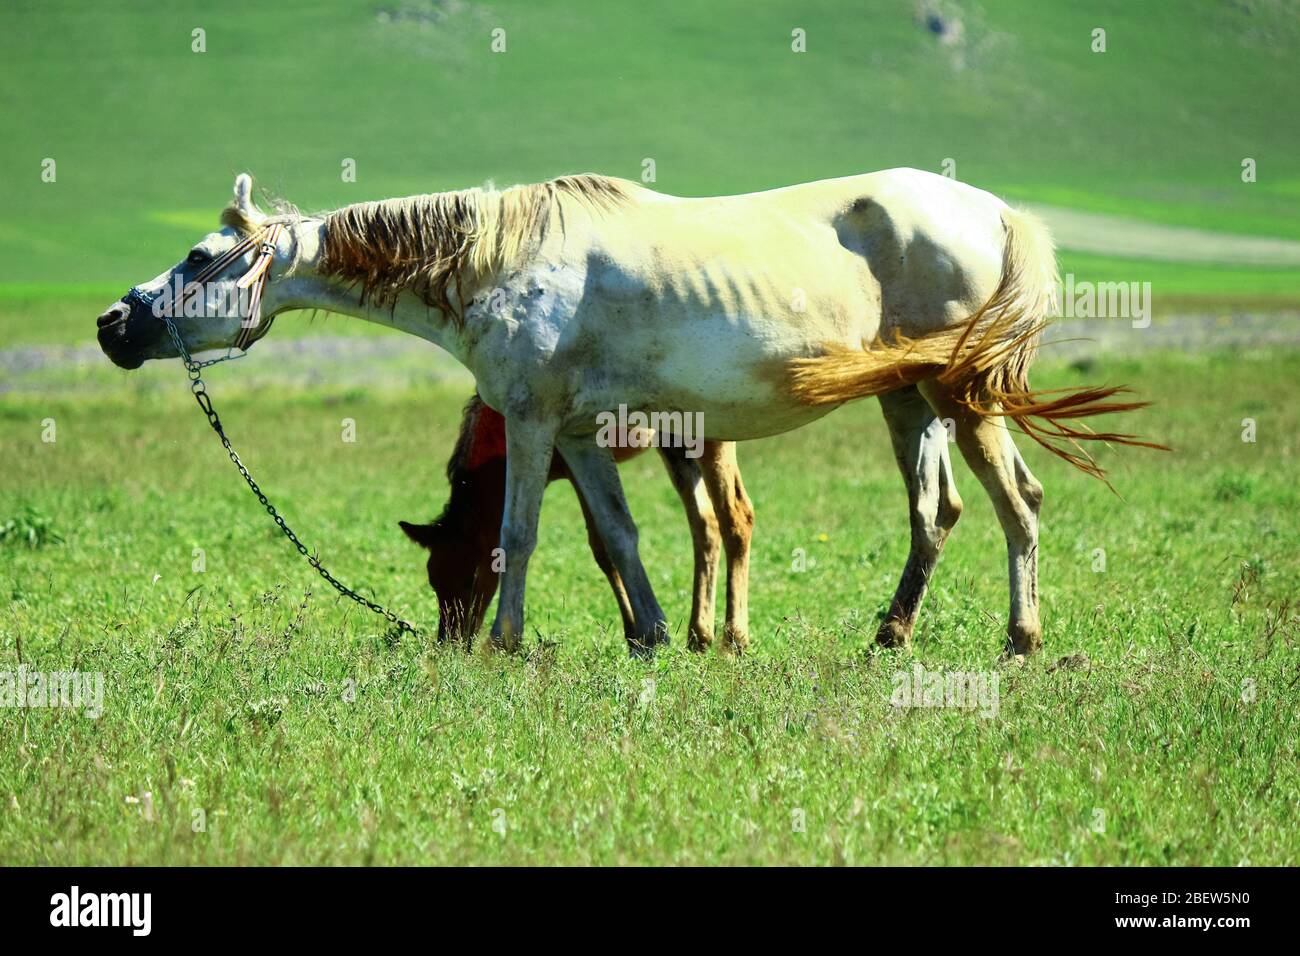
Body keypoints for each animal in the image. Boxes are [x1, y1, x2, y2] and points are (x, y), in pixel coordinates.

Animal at [398, 392, 753, 651]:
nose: (450, 643)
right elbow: (604, 549)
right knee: (706, 522)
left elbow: (603, 546)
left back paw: (734, 639)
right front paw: (635, 634)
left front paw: (636, 635)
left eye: (471, 578)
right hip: (675, 442)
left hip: (711, 437)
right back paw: (699, 635)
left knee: (737, 516)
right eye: (434, 581)